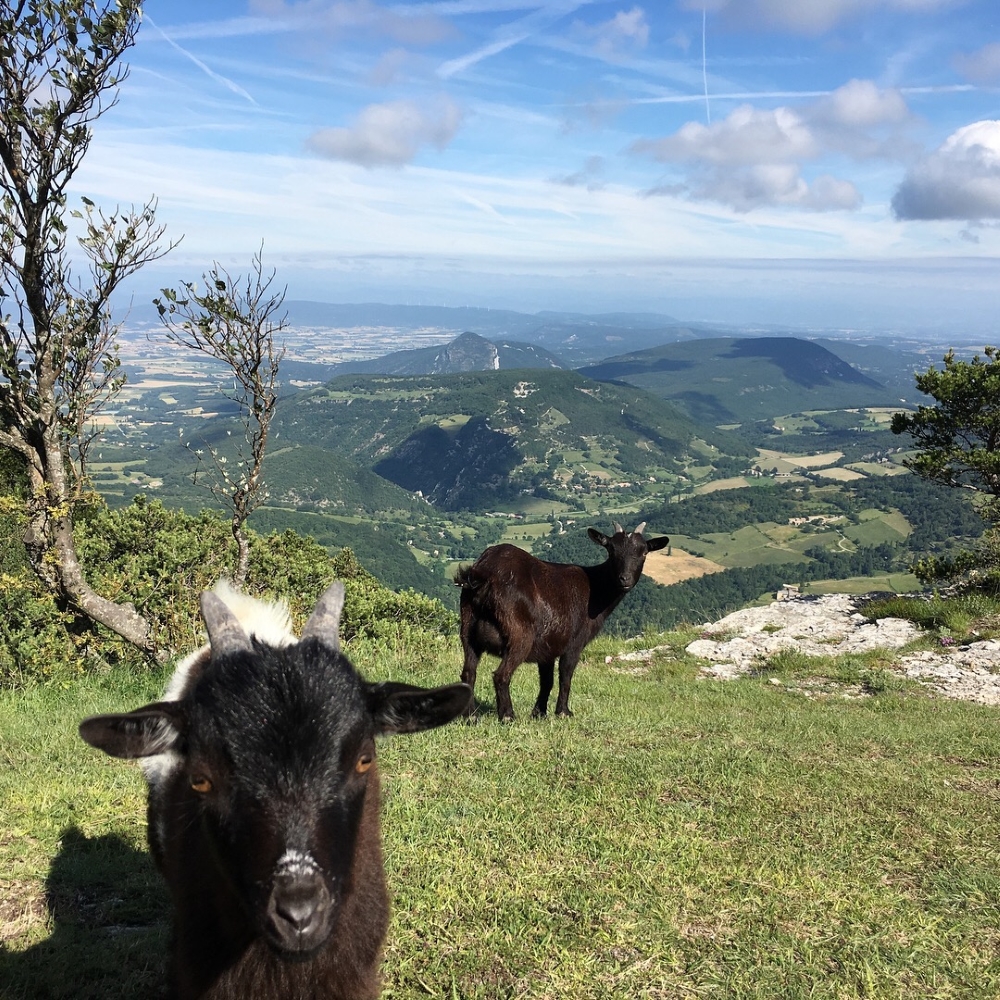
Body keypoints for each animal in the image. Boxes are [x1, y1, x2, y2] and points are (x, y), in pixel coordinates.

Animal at [458, 524, 668, 720]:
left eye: (644, 552)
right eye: (611, 550)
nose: (624, 579)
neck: (596, 588)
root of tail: (485, 574)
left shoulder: (548, 646)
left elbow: (547, 681)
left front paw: (539, 713)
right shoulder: (573, 643)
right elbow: (565, 676)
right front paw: (563, 712)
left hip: (467, 630)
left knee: (468, 673)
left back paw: (471, 716)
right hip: (520, 635)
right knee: (501, 675)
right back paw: (508, 716)